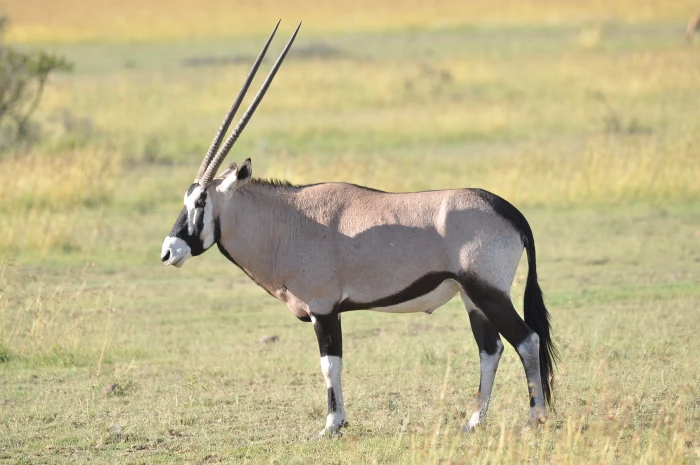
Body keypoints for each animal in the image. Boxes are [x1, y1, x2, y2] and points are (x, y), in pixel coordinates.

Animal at [161, 21, 557, 438]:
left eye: (200, 202)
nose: (168, 251)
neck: (289, 222)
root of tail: (510, 212)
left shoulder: (324, 309)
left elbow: (329, 364)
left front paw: (332, 425)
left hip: (489, 292)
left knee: (526, 339)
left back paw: (536, 417)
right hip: (472, 297)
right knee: (490, 348)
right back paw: (473, 421)